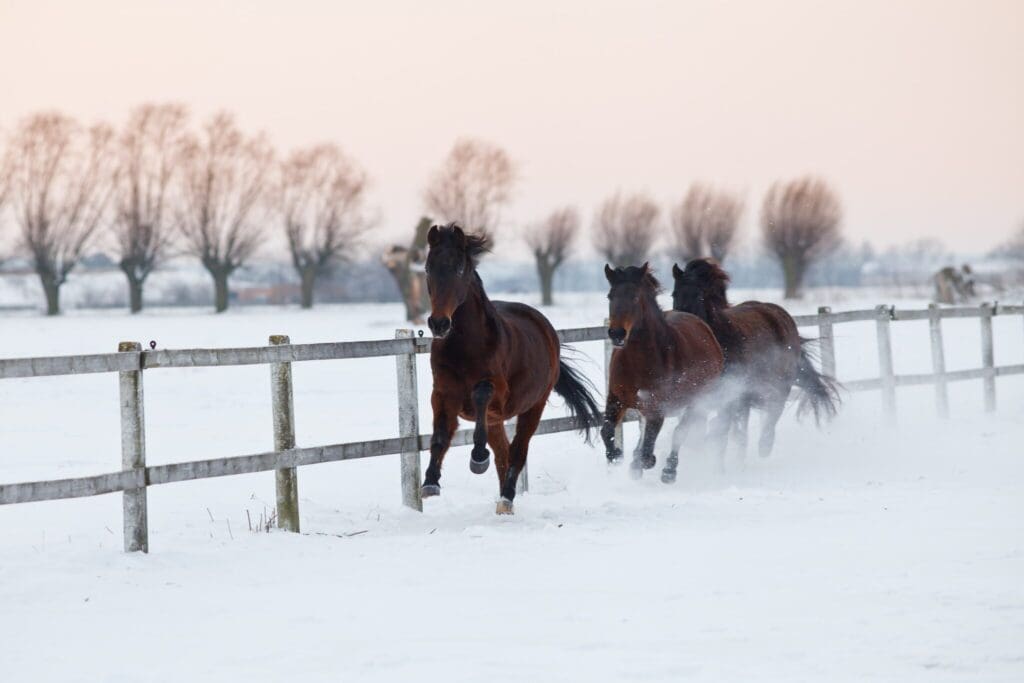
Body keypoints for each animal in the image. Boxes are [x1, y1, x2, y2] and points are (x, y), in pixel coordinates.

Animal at [422, 223, 602, 514]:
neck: (464, 347)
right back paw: (503, 500)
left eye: (459, 269)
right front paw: (430, 483)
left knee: (517, 451)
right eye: (428, 268)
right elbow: (440, 436)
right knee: (503, 454)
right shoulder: (442, 393)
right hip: (500, 419)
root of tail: (546, 328)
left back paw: (506, 498)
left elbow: (481, 395)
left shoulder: (498, 395)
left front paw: (478, 459)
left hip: (533, 406)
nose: (439, 323)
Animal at [602, 263, 725, 482]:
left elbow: (649, 447)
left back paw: (669, 470)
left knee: (680, 432)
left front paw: (645, 461)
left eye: (635, 297)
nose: (617, 334)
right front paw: (616, 456)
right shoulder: (616, 398)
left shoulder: (657, 406)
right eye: (610, 296)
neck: (638, 362)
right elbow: (606, 429)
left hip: (697, 401)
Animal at [671, 258, 840, 459]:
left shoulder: (733, 397)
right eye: (674, 294)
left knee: (771, 416)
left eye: (699, 295)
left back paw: (764, 448)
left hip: (779, 385)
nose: (682, 324)